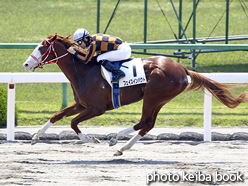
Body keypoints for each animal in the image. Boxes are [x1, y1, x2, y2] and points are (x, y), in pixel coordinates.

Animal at [22, 34, 246, 155]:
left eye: (41, 47)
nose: (25, 64)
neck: (84, 71)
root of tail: (183, 69)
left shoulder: (96, 108)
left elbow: (73, 123)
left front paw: (92, 139)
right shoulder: (82, 104)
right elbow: (56, 116)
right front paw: (35, 137)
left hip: (153, 95)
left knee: (144, 122)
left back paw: (116, 139)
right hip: (159, 99)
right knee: (148, 124)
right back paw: (121, 147)